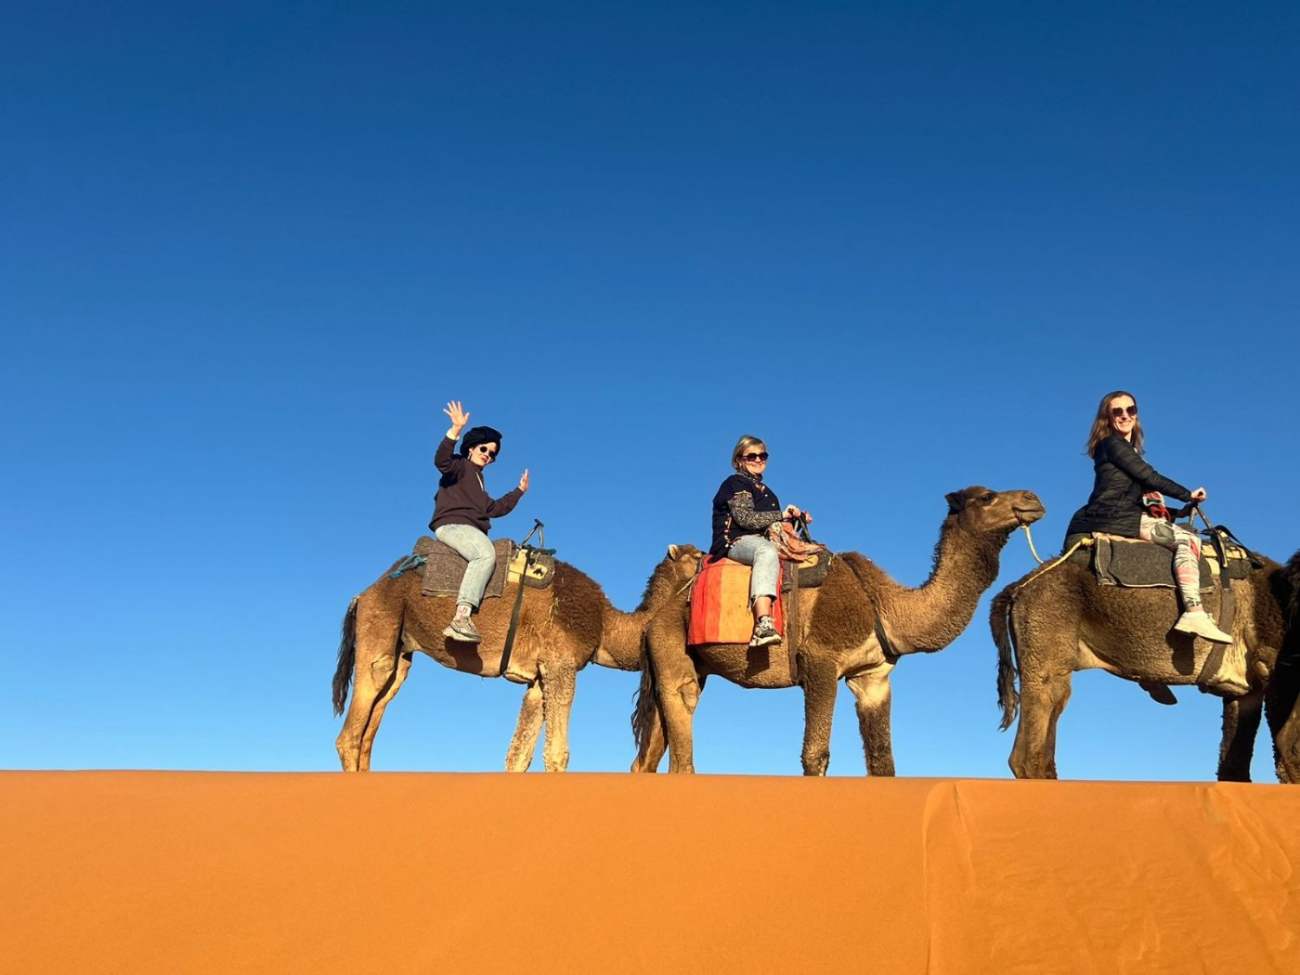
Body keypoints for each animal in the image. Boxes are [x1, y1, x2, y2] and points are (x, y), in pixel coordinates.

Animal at [332, 544, 701, 772]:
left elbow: (518, 755)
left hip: (401, 650)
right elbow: (557, 753)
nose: (709, 556)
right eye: (698, 556)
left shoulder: (537, 679)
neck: (606, 626)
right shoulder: (560, 665)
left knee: (372, 722)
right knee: (351, 731)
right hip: (380, 627)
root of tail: (363, 594)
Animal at [630, 486, 1046, 775]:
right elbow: (816, 755)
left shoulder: (872, 676)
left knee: (647, 758)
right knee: (681, 754)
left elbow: (882, 761)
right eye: (988, 496)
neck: (883, 604)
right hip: (672, 656)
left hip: (682, 667)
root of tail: (658, 615)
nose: (1033, 498)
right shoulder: (820, 662)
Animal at [992, 541, 1300, 781]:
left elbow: (1234, 768)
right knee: (1026, 755)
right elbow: (1289, 752)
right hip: (1045, 655)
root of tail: (1018, 588)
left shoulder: (1244, 691)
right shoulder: (1275, 672)